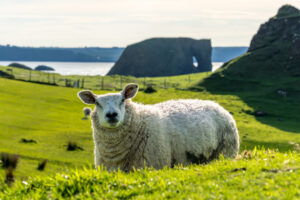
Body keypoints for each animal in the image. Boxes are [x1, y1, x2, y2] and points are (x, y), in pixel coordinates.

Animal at [77, 83, 239, 171]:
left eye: (122, 100)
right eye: (97, 103)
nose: (111, 115)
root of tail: (217, 105)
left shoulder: (153, 163)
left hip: (226, 151)